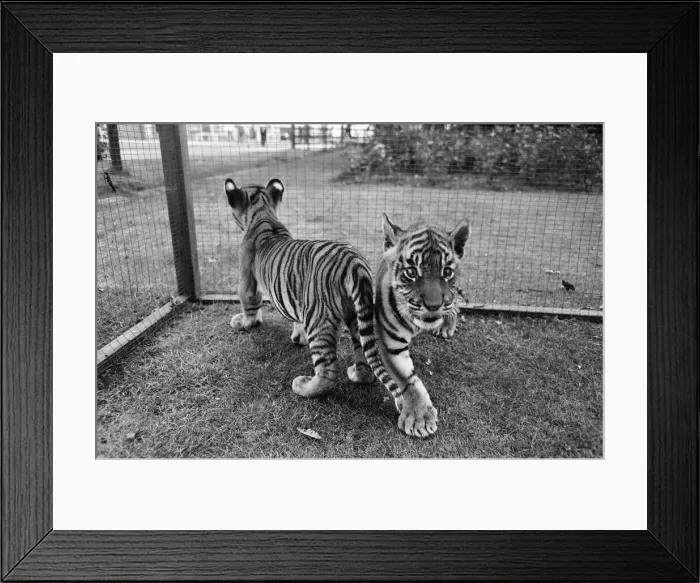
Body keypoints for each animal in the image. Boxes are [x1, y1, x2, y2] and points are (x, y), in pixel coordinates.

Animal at [372, 214, 472, 437]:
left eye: (447, 272)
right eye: (411, 272)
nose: (434, 305)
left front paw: (419, 419)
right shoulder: (392, 345)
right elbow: (408, 380)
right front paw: (419, 418)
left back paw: (446, 326)